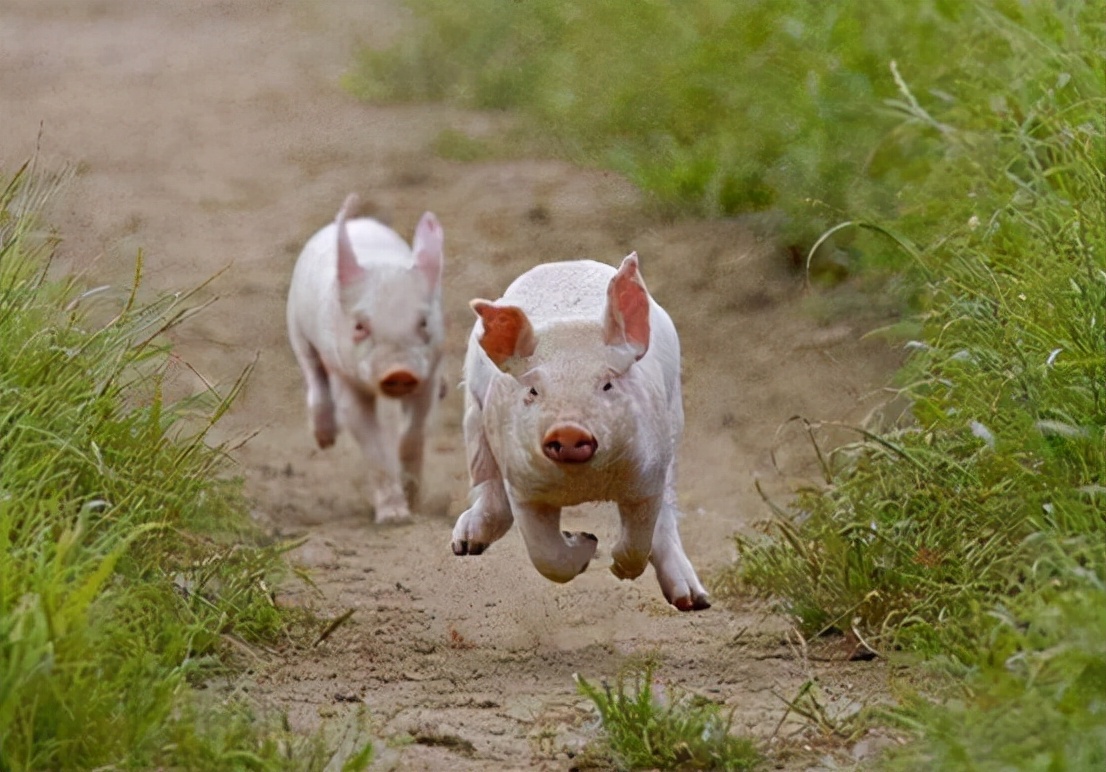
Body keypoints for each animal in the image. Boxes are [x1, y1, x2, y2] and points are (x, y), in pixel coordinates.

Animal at [287, 193, 446, 524]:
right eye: (360, 326)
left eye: (424, 322)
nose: (399, 372)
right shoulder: (342, 372)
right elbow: (365, 432)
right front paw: (395, 518)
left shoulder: (429, 371)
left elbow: (414, 429)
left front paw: (412, 501)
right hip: (296, 328)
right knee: (314, 377)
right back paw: (325, 440)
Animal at [453, 252, 712, 606]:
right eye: (533, 391)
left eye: (607, 385)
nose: (568, 431)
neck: (582, 485)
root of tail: (563, 263)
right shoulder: (522, 484)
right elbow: (546, 556)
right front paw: (586, 542)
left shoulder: (648, 472)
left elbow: (641, 535)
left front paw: (617, 567)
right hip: (474, 415)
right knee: (487, 483)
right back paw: (464, 545)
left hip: (673, 421)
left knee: (668, 514)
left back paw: (693, 601)